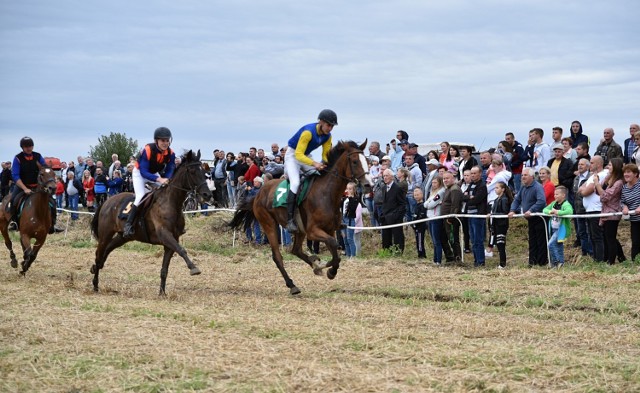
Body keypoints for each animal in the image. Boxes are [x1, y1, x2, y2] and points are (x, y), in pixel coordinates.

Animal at [90, 150, 212, 294]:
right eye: (192, 171)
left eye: (204, 172)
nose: (207, 195)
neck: (171, 202)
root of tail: (106, 202)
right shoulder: (165, 235)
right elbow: (181, 250)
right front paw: (193, 267)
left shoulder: (171, 240)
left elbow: (165, 269)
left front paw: (162, 293)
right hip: (105, 234)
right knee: (99, 253)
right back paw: (95, 283)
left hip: (123, 237)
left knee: (107, 250)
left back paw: (96, 268)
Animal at [230, 141, 372, 294]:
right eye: (355, 161)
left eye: (367, 161)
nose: (368, 185)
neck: (326, 194)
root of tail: (258, 194)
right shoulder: (313, 231)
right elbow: (334, 245)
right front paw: (326, 268)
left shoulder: (329, 230)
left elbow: (336, 252)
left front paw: (326, 269)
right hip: (269, 224)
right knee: (277, 256)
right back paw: (292, 285)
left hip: (299, 230)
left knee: (295, 250)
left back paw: (313, 265)